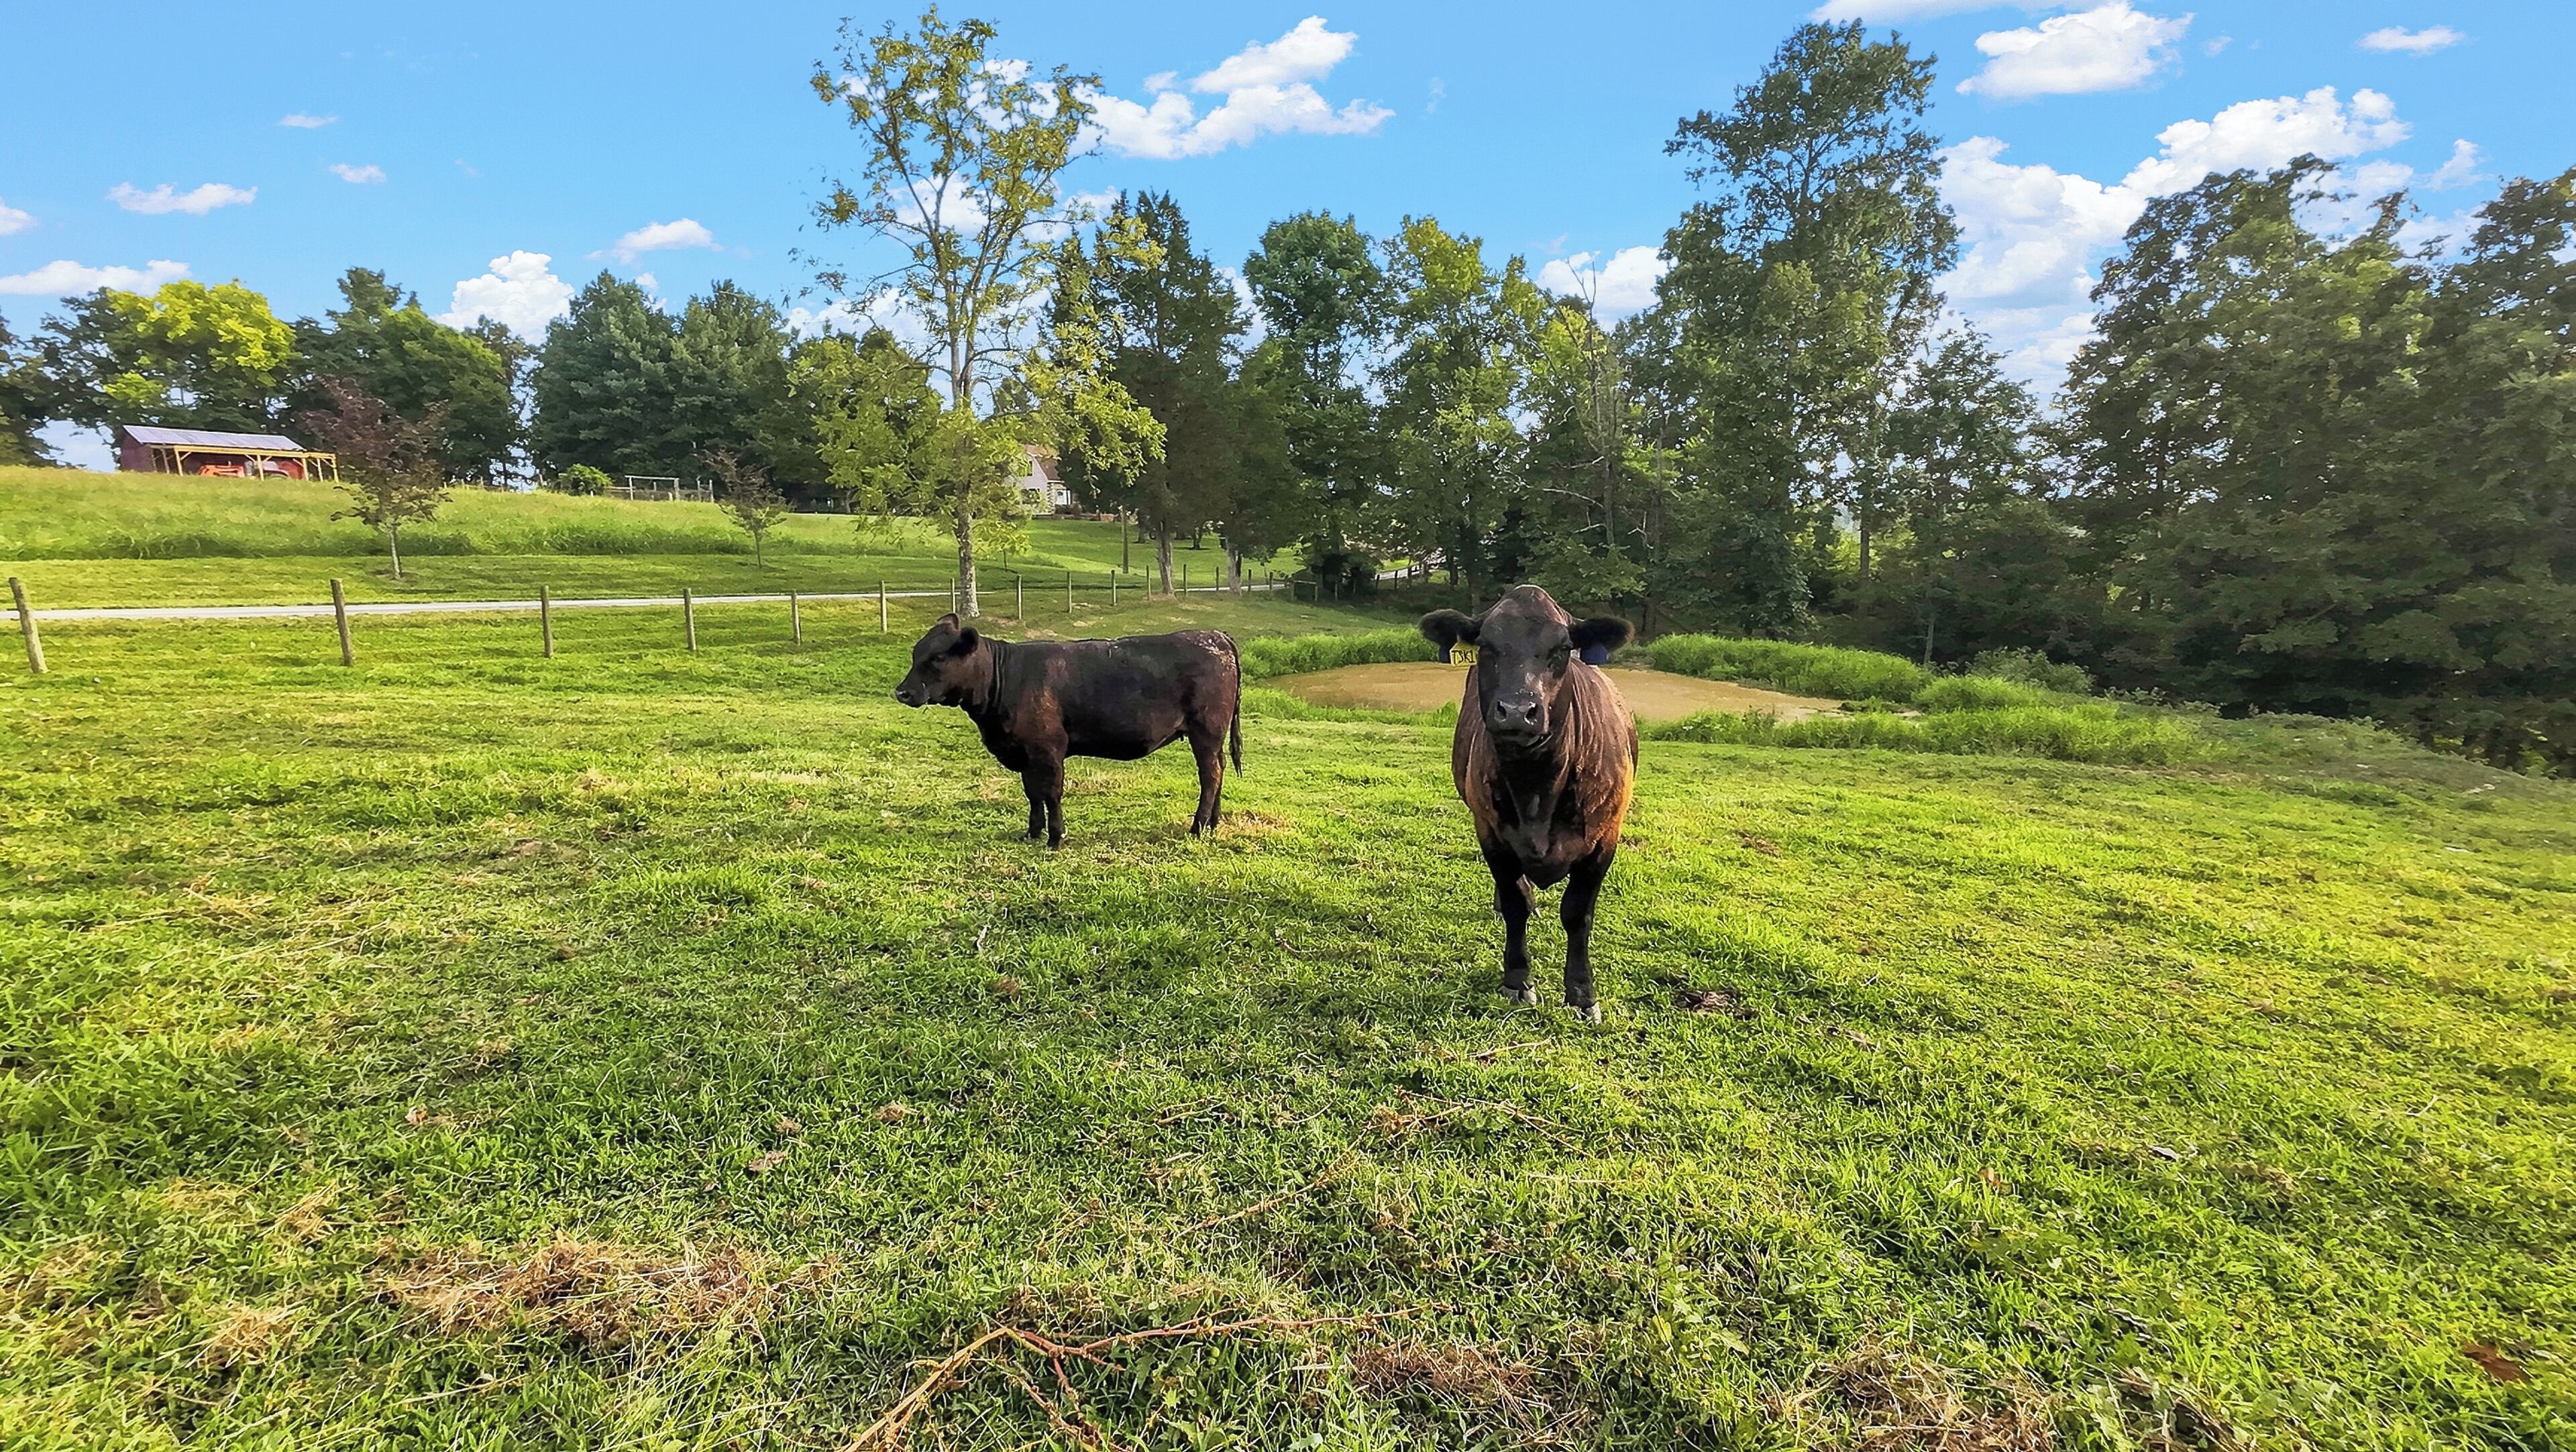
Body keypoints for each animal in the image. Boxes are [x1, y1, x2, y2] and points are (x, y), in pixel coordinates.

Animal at [893, 615, 1243, 848]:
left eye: (938, 657)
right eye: (915, 653)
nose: (902, 692)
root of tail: (1214, 635)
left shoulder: (1047, 749)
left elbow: (1051, 792)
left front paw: (1055, 837)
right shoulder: (1026, 752)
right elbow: (1033, 793)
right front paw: (1032, 833)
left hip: (1206, 732)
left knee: (1210, 775)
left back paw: (1198, 827)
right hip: (1213, 737)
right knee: (1220, 769)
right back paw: (1213, 823)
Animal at [1420, 586, 1636, 1021]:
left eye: (1564, 648)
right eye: (1487, 645)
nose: (1518, 711)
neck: (1537, 787)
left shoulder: (1605, 838)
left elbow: (1578, 913)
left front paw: (1582, 994)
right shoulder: (1492, 833)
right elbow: (1516, 901)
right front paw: (1517, 981)